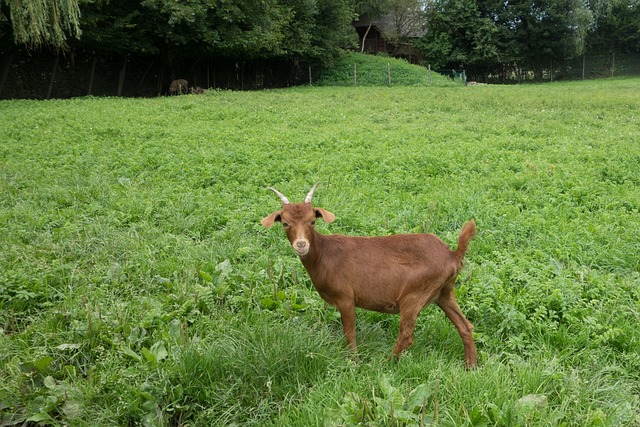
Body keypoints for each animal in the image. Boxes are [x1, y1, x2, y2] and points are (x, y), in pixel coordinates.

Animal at [262, 183, 478, 368]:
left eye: (312, 222)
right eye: (285, 223)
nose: (301, 245)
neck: (324, 254)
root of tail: (452, 255)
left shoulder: (345, 298)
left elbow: (350, 332)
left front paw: (355, 363)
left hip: (415, 293)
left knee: (407, 334)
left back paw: (385, 364)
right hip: (444, 291)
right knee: (465, 326)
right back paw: (471, 367)